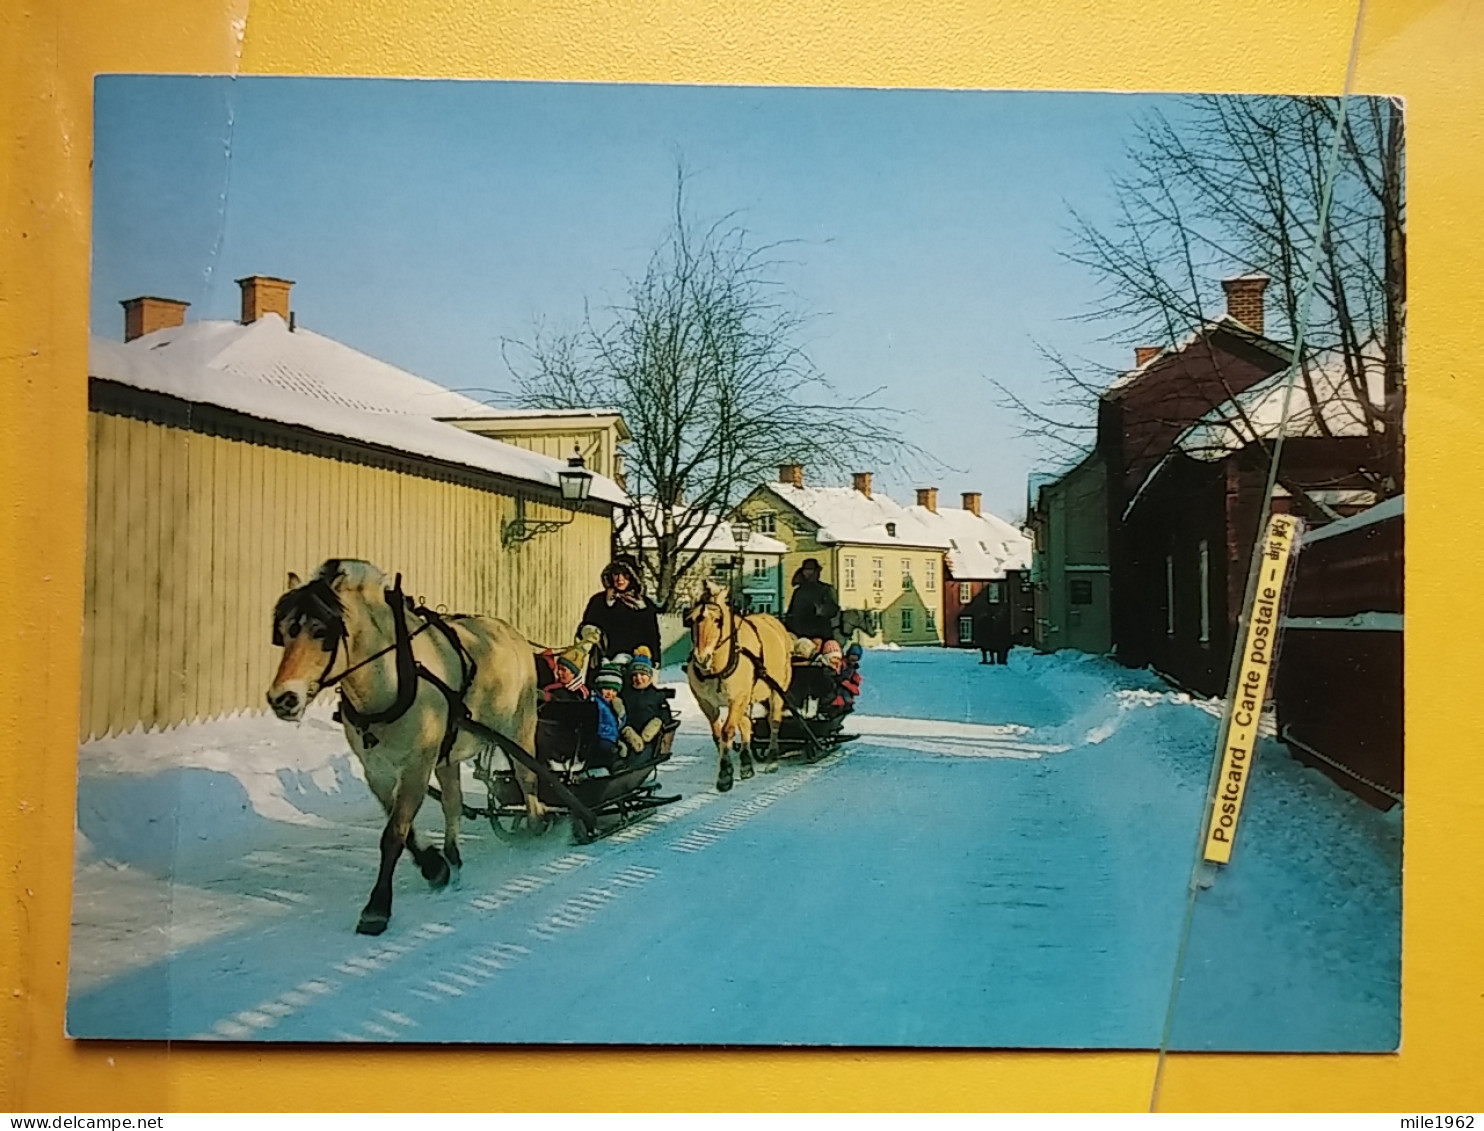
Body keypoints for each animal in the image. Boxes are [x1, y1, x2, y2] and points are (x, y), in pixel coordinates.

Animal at [268, 558, 546, 932]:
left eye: (320, 631)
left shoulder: (417, 764)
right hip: (448, 755)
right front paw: (435, 866)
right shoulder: (378, 770)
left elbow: (394, 833)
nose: (282, 698)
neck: (392, 679)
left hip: (520, 725)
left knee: (528, 776)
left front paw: (377, 907)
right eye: (284, 633)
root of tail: (509, 630)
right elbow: (402, 825)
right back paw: (454, 857)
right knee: (453, 802)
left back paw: (537, 823)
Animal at [685, 575, 795, 789]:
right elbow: (719, 733)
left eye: (717, 620)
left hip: (776, 689)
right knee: (746, 723)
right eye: (691, 620)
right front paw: (732, 767)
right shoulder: (706, 703)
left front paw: (725, 774)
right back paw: (746, 763)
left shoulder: (737, 697)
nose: (701, 658)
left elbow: (727, 731)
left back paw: (772, 758)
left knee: (774, 720)